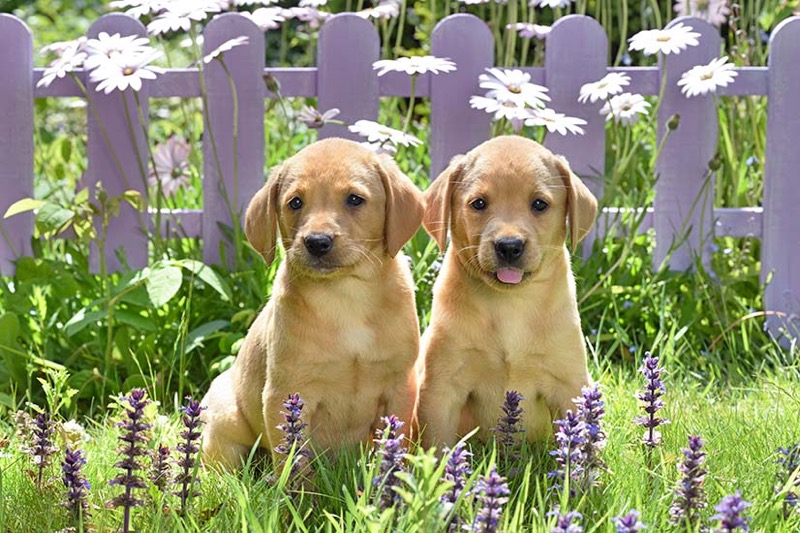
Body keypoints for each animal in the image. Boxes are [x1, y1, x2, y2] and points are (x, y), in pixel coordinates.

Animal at [200, 138, 424, 470]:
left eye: (354, 199)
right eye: (295, 203)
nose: (317, 242)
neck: (345, 294)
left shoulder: (400, 385)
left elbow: (396, 441)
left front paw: (393, 476)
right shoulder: (286, 392)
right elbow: (293, 460)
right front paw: (295, 486)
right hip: (225, 422)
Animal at [416, 135, 596, 446]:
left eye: (539, 204)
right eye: (478, 203)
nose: (509, 246)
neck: (511, 303)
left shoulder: (569, 384)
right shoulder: (442, 387)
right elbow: (438, 445)